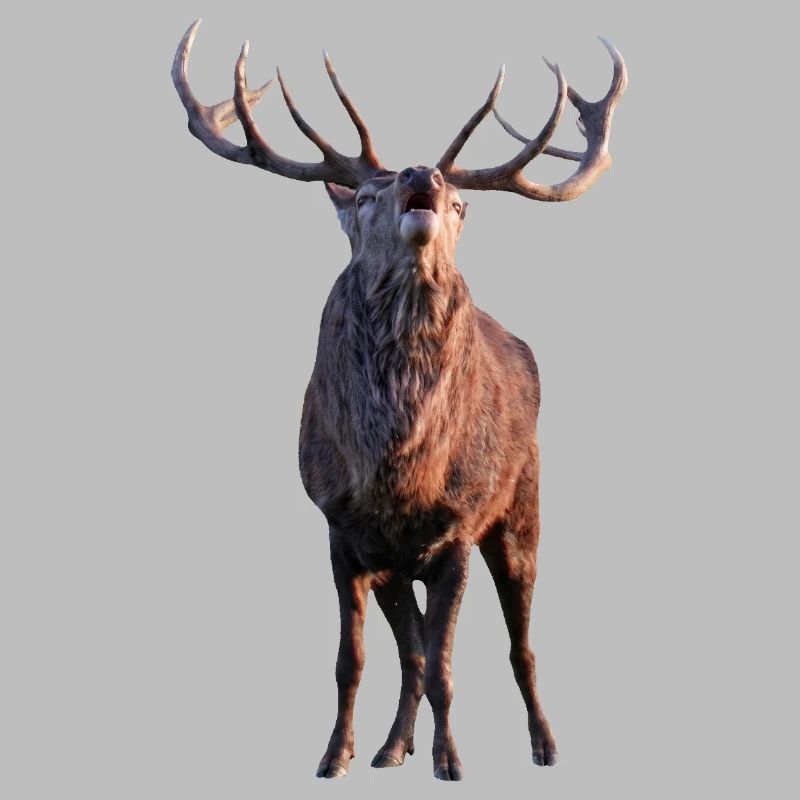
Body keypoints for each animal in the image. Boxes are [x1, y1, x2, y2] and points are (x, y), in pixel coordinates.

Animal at [172, 19, 626, 781]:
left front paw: (452, 762)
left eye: (461, 206)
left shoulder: (457, 530)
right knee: (409, 649)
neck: (397, 470)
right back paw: (392, 747)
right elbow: (354, 661)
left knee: (520, 642)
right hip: (398, 564)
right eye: (364, 197)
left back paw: (544, 744)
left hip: (522, 511)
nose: (423, 175)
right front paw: (336, 756)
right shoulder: (344, 530)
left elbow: (445, 664)